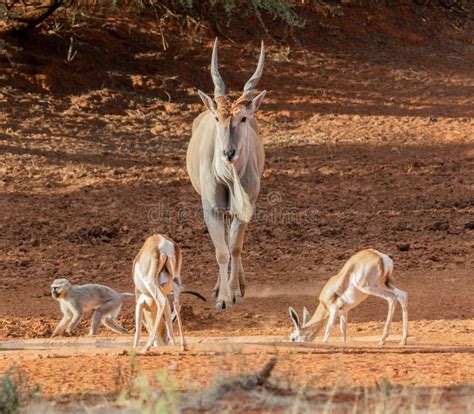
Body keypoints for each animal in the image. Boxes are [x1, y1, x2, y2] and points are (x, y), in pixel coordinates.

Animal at [186, 39, 266, 310]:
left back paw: (238, 285)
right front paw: (222, 297)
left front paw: (232, 291)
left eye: (243, 118)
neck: (228, 179)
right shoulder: (211, 209)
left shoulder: (244, 208)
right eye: (217, 118)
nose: (229, 153)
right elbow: (221, 250)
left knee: (234, 244)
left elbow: (234, 247)